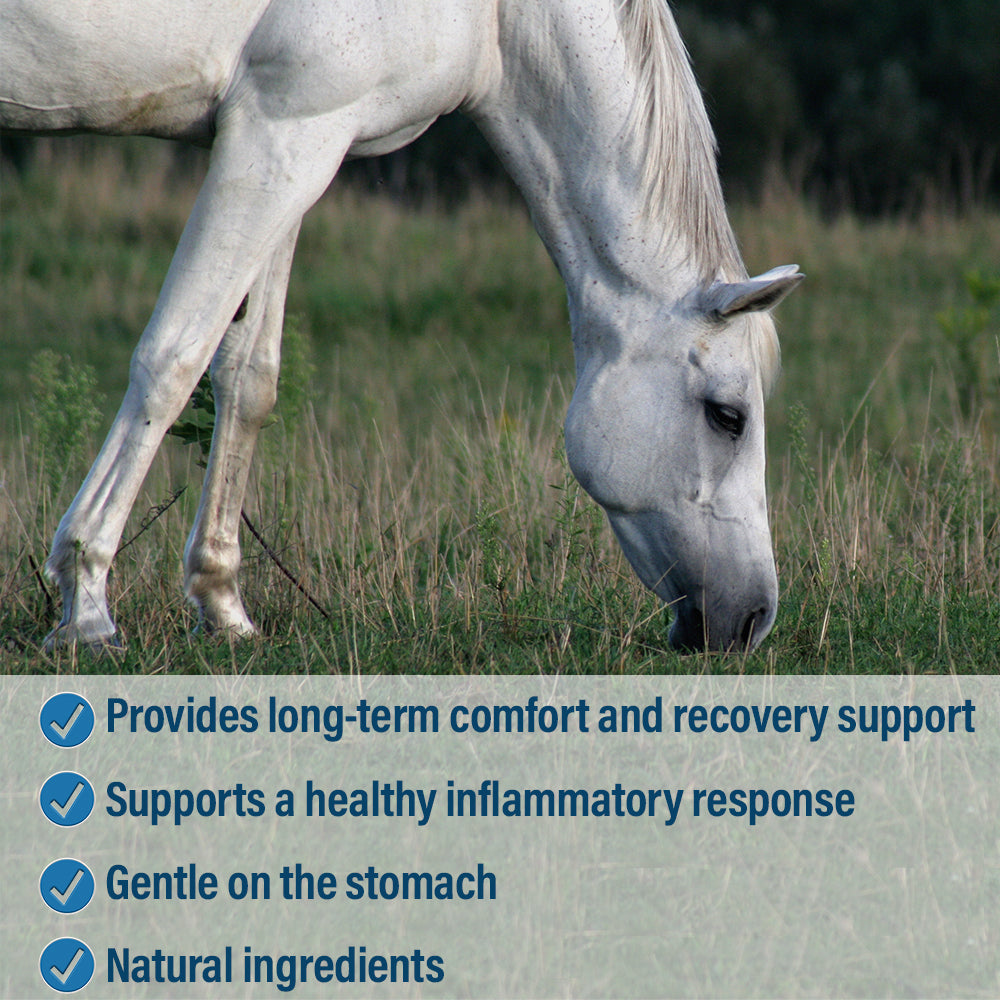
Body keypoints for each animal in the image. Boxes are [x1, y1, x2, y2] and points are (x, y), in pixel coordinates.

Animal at [1, 0, 802, 653]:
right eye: (727, 416)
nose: (754, 619)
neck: (497, 17)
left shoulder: (293, 147)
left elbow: (248, 378)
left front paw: (222, 604)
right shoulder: (282, 131)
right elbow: (172, 359)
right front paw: (86, 605)